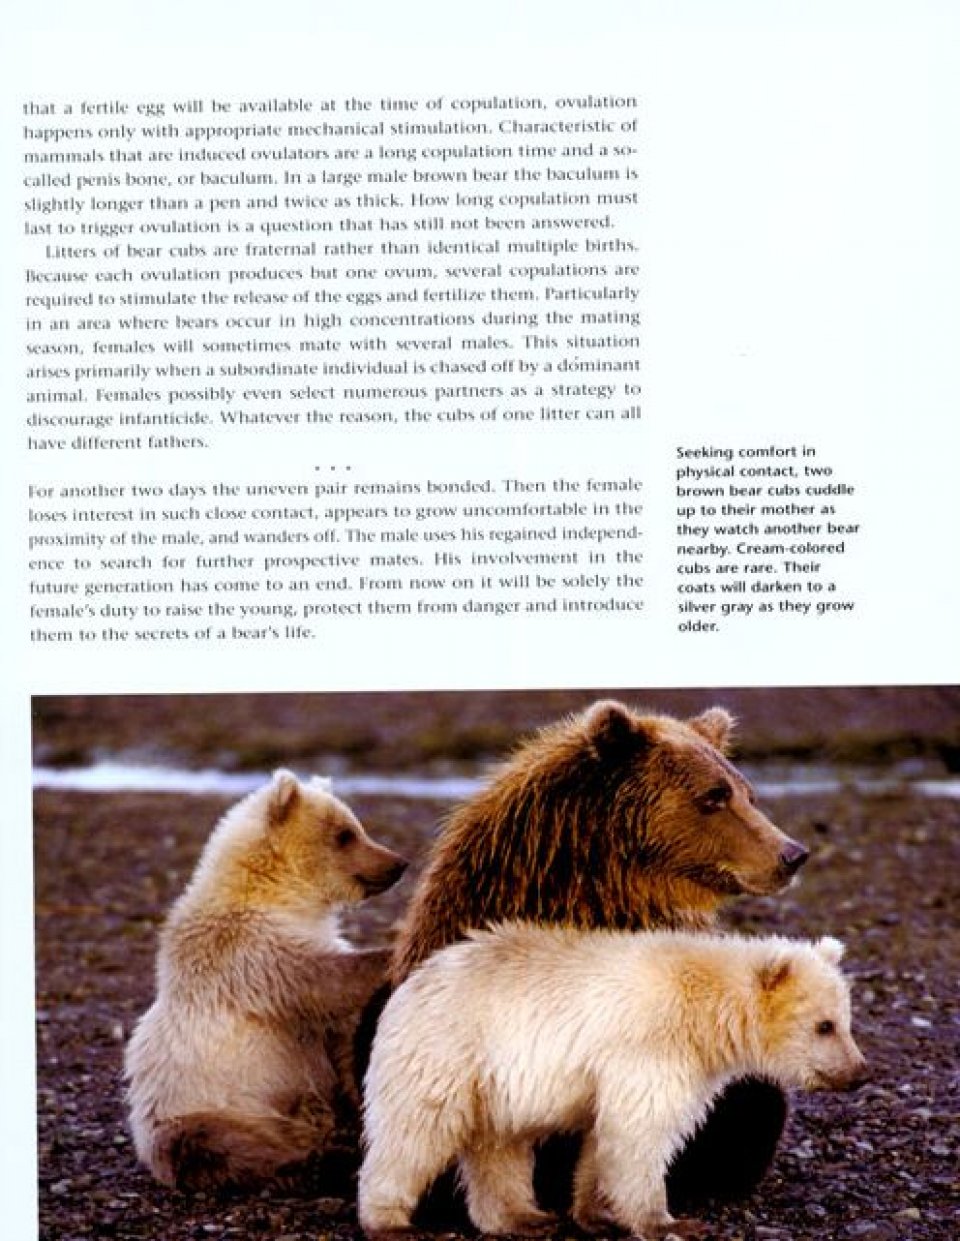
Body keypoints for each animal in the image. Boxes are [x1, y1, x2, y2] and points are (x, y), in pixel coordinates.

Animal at [124, 768, 407, 1192]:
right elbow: (322, 981)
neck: (281, 894)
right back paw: (314, 1161)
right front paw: (388, 952)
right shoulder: (248, 951)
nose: (398, 863)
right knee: (215, 1145)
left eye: (356, 826)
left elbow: (338, 1036)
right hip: (192, 1108)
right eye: (345, 834)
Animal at [359, 925, 867, 1240]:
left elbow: (604, 1140)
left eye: (846, 1020)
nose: (860, 1072)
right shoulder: (651, 1046)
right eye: (824, 1026)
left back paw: (523, 1216)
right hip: (449, 1052)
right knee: (415, 1132)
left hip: (496, 1084)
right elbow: (640, 1131)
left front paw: (597, 1213)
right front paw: (670, 1222)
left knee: (499, 1145)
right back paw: (390, 1220)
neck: (706, 1013)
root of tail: (412, 982)